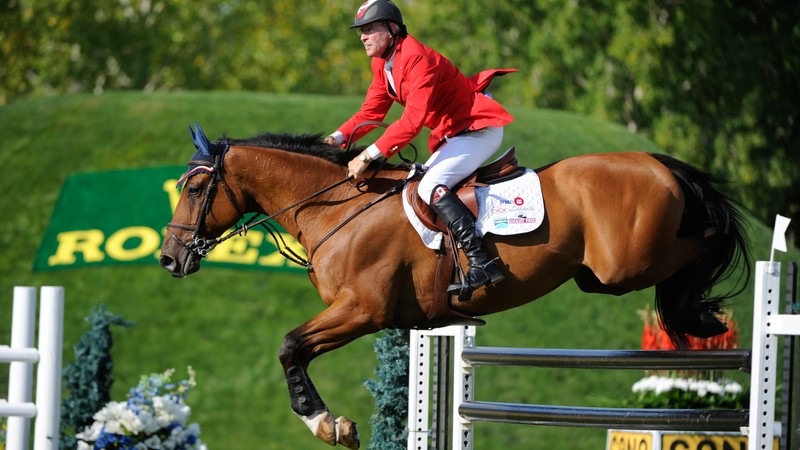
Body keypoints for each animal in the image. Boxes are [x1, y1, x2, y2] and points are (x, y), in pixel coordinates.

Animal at [159, 124, 750, 449]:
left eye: (195, 189)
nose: (169, 258)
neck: (337, 208)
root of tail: (655, 162)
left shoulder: (362, 310)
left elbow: (289, 347)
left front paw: (327, 424)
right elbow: (294, 349)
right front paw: (332, 424)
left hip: (626, 265)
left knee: (706, 239)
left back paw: (705, 308)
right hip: (600, 275)